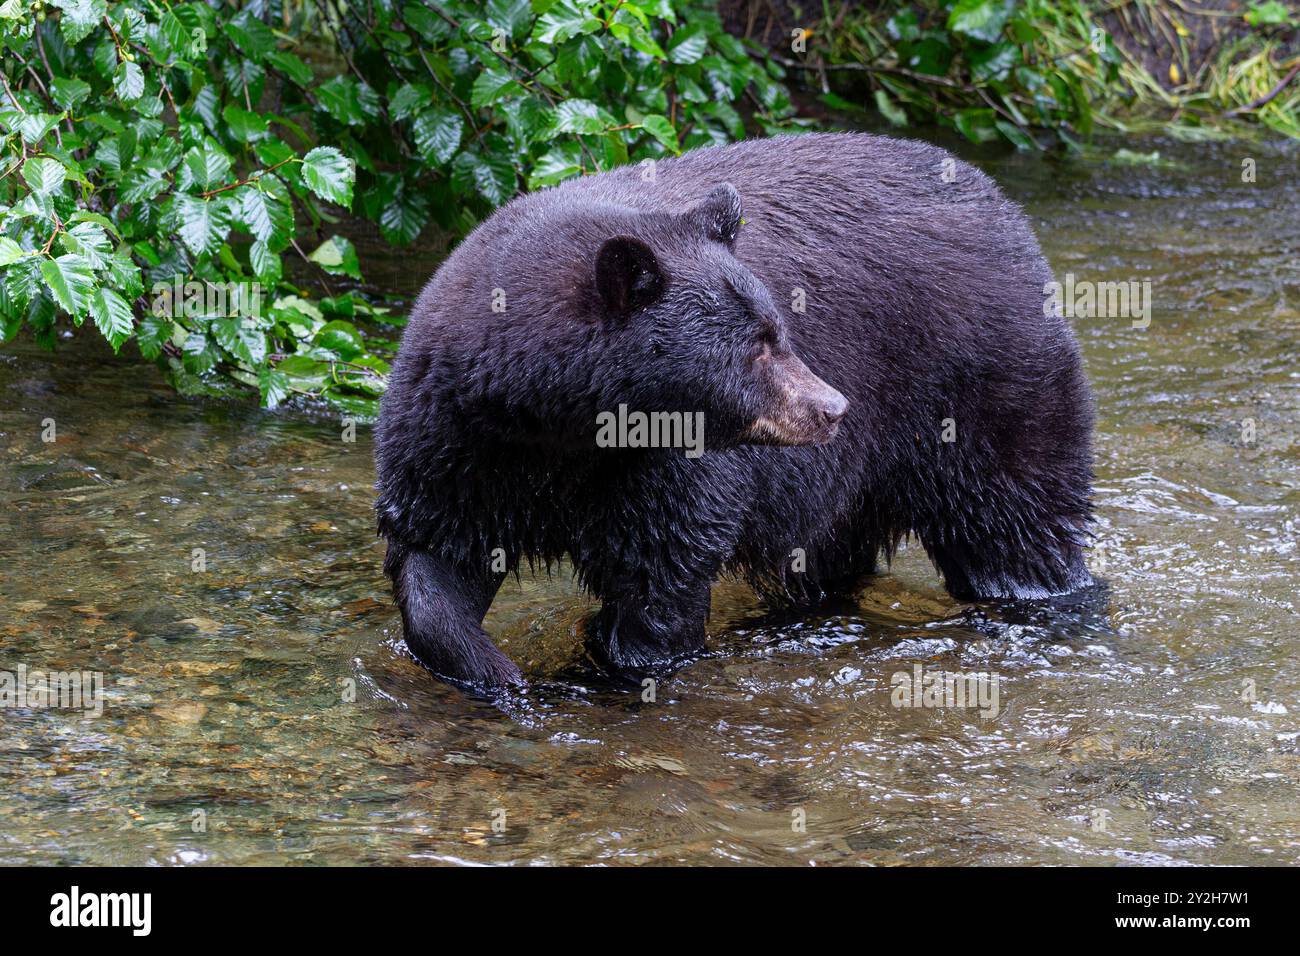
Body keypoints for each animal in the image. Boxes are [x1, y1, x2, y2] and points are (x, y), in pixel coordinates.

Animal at [377, 132, 1097, 686]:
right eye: (757, 346)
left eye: (778, 328)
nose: (835, 407)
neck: (561, 427)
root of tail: (1000, 203)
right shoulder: (457, 439)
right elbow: (437, 558)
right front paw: (496, 670)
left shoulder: (666, 461)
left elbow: (663, 567)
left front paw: (616, 660)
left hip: (980, 384)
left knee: (1013, 518)